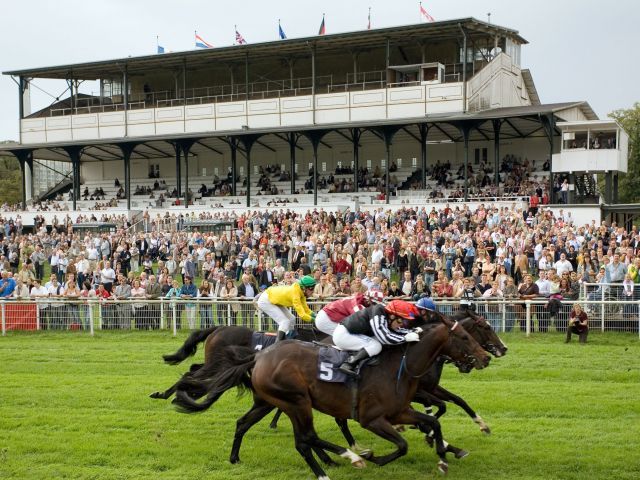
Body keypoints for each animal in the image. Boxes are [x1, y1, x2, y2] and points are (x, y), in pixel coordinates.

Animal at [170, 312, 490, 476]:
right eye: (465, 336)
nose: (487, 356)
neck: (399, 364)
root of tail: (259, 357)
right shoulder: (372, 418)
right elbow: (402, 445)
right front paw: (374, 457)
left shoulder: (401, 409)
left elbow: (433, 421)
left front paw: (444, 454)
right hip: (297, 401)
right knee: (306, 438)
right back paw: (348, 457)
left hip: (275, 401)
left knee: (260, 428)